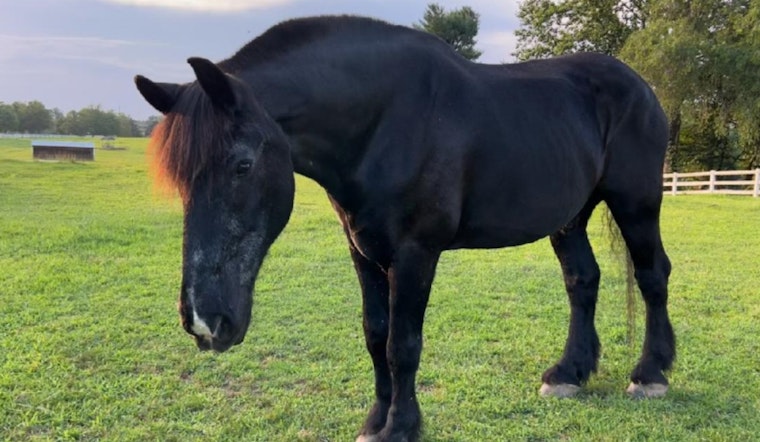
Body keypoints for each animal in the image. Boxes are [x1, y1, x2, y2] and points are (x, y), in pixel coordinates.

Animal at [135, 15, 675, 442]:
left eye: (242, 166)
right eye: (181, 180)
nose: (204, 322)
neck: (384, 121)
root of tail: (640, 86)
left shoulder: (416, 252)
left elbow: (403, 343)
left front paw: (401, 426)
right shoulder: (363, 250)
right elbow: (376, 334)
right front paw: (376, 421)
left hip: (637, 203)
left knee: (653, 276)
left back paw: (651, 375)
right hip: (570, 217)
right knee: (582, 281)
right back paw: (569, 373)